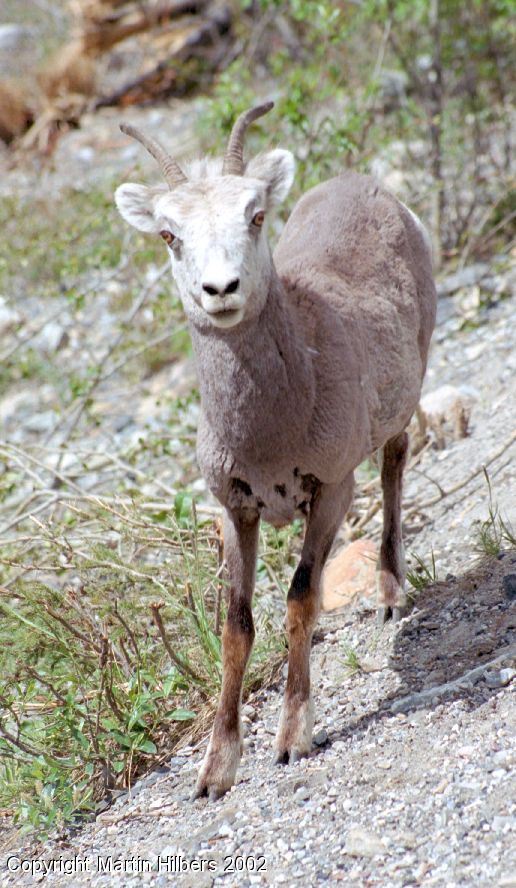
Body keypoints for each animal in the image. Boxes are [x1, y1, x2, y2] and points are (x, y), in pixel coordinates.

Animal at [114, 102, 437, 801]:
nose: (221, 289)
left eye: (255, 214)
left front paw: (293, 739)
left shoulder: (332, 490)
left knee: (395, 464)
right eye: (168, 235)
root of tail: (363, 185)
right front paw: (216, 773)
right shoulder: (237, 510)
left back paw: (390, 597)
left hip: (403, 402)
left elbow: (299, 600)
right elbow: (236, 628)